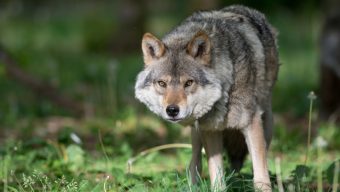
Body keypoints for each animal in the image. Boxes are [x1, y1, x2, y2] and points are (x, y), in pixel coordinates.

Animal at [135, 4, 278, 190]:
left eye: (189, 83)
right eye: (162, 83)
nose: (172, 110)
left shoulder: (251, 124)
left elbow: (260, 174)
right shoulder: (210, 129)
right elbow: (216, 175)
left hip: (267, 123)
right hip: (196, 131)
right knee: (194, 162)